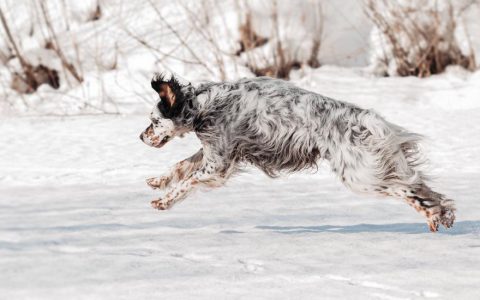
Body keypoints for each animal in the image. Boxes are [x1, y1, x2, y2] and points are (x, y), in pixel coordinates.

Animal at [141, 72, 456, 232]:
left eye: (154, 121)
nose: (141, 137)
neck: (205, 104)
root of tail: (368, 120)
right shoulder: (214, 153)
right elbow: (181, 165)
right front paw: (157, 181)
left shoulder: (218, 163)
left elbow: (187, 182)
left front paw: (163, 201)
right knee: (422, 186)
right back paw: (443, 214)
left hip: (361, 176)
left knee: (408, 190)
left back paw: (433, 215)